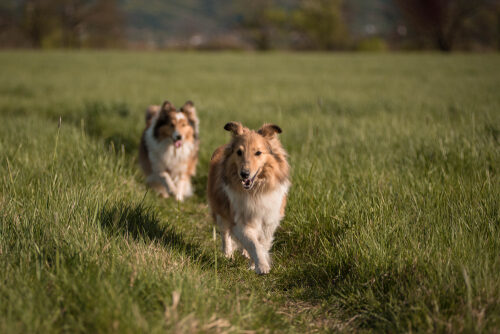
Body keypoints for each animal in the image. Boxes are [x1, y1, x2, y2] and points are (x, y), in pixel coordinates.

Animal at [207, 121, 292, 272]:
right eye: (239, 152)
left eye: (258, 152)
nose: (244, 174)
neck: (255, 191)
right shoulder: (239, 220)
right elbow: (253, 243)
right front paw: (262, 266)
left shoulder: (269, 220)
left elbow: (262, 243)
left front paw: (254, 264)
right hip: (220, 211)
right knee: (225, 233)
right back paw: (228, 254)